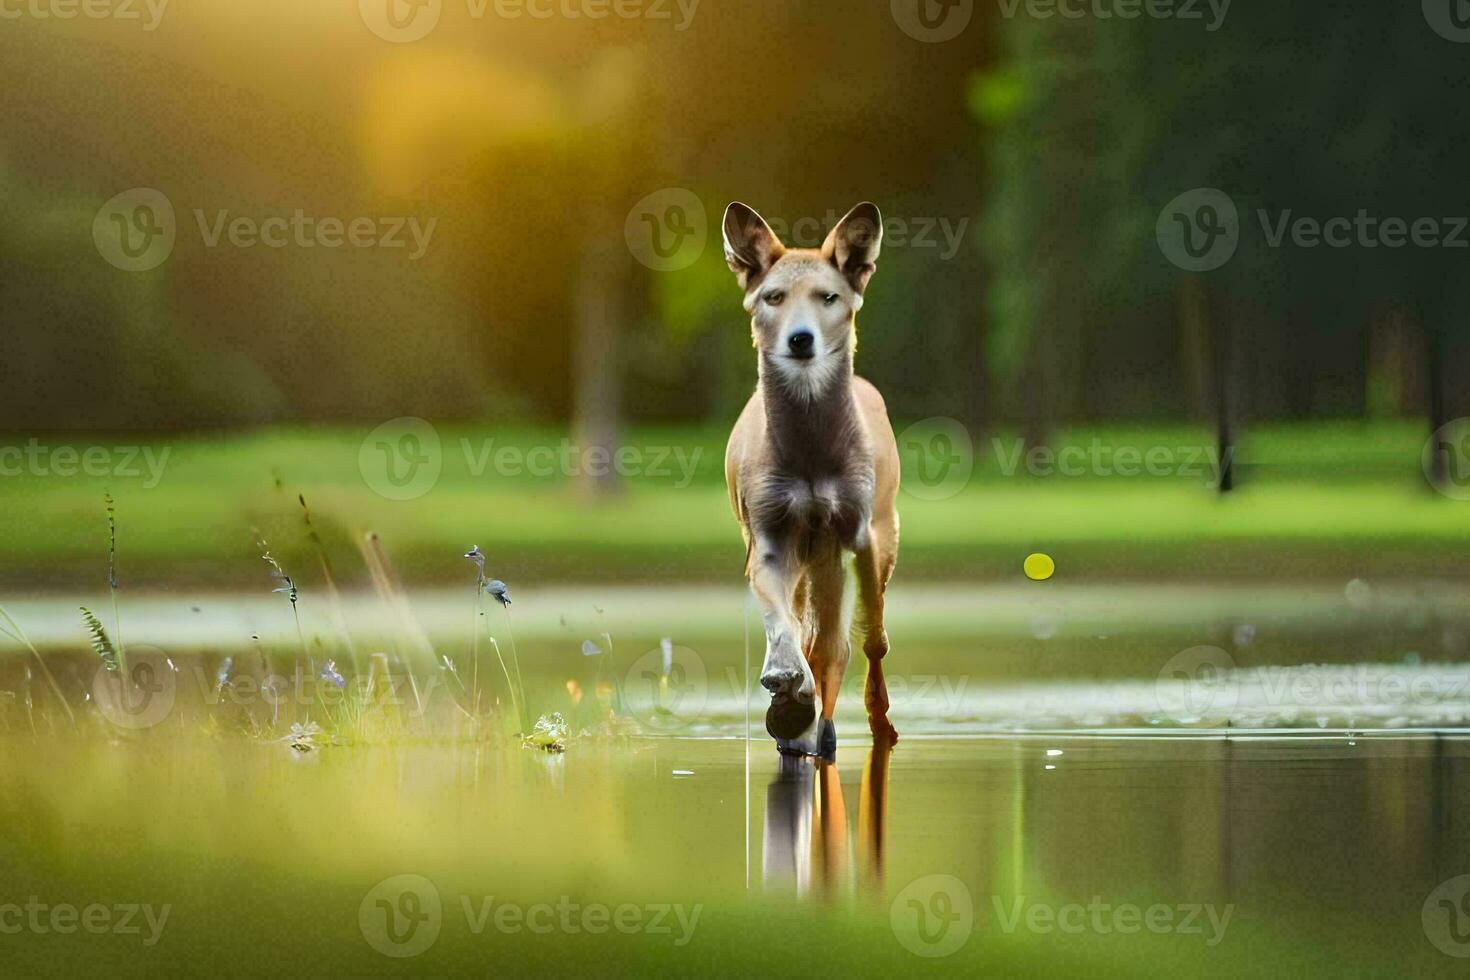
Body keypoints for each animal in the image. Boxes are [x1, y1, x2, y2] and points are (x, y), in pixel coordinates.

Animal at [720, 201, 893, 758]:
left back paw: (867, 724)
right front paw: (785, 686)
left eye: (828, 296)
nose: (801, 339)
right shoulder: (769, 535)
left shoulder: (856, 534)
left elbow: (853, 640)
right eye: (773, 296)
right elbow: (783, 626)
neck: (811, 455)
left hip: (880, 534)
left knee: (864, 641)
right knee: (808, 627)